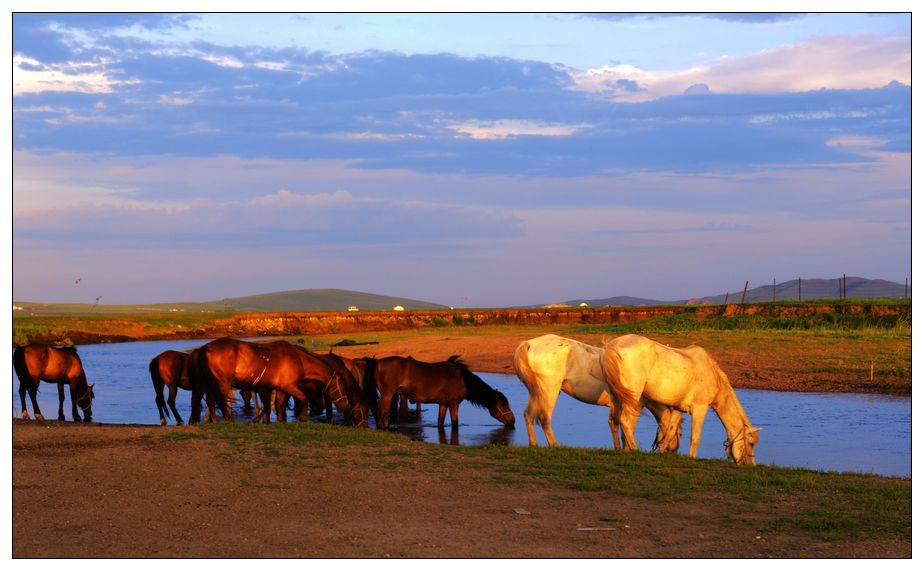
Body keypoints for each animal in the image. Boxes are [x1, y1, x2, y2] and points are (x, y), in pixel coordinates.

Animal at [188, 338, 368, 426]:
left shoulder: (278, 389)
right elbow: (303, 399)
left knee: (210, 403)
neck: (298, 359)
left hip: (210, 385)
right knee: (222, 404)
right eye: (342, 388)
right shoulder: (290, 387)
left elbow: (276, 407)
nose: (345, 406)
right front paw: (302, 419)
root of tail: (204, 348)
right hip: (222, 384)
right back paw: (229, 422)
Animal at [362, 356, 520, 432]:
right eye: (503, 405)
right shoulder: (453, 404)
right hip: (387, 395)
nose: (513, 421)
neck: (462, 379)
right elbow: (455, 423)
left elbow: (440, 422)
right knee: (382, 411)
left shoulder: (443, 404)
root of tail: (377, 362)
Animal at [508, 336, 684, 452]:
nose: (674, 450)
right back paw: (555, 445)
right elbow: (627, 425)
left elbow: (616, 424)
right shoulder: (635, 405)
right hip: (549, 391)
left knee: (528, 415)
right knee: (544, 418)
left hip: (535, 392)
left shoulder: (616, 405)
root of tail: (528, 343)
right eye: (680, 432)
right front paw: (628, 449)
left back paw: (533, 443)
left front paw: (619, 449)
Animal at [604, 336, 760, 464]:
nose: (750, 465)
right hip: (633, 397)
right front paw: (692, 458)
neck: (712, 374)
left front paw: (661, 452)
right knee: (625, 421)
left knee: (615, 421)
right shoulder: (700, 409)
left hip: (618, 397)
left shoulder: (678, 409)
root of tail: (613, 344)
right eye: (751, 443)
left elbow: (669, 432)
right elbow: (695, 437)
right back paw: (635, 449)